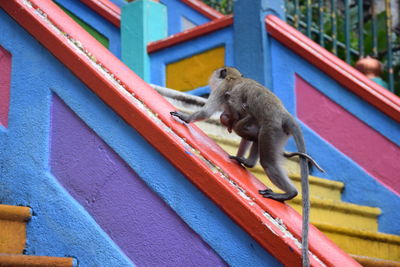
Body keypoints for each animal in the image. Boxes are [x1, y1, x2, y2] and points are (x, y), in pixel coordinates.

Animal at [170, 66, 318, 266]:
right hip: (277, 133)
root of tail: (284, 114)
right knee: (253, 133)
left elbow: (207, 112)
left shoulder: (222, 89)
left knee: (266, 159)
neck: (234, 78)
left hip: (272, 129)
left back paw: (289, 192)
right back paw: (247, 161)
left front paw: (185, 117)